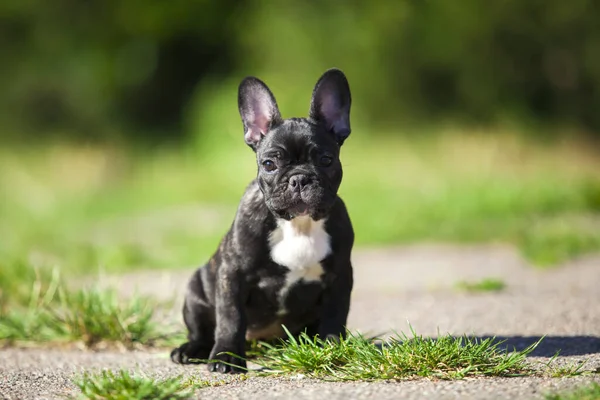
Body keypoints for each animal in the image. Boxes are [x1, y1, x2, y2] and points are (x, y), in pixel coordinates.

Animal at [171, 68, 354, 372]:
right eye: (270, 164)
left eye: (327, 160)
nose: (299, 178)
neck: (297, 224)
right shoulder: (232, 274)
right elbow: (231, 318)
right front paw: (226, 357)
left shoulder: (340, 276)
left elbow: (335, 314)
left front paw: (331, 347)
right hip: (196, 291)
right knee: (201, 329)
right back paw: (191, 349)